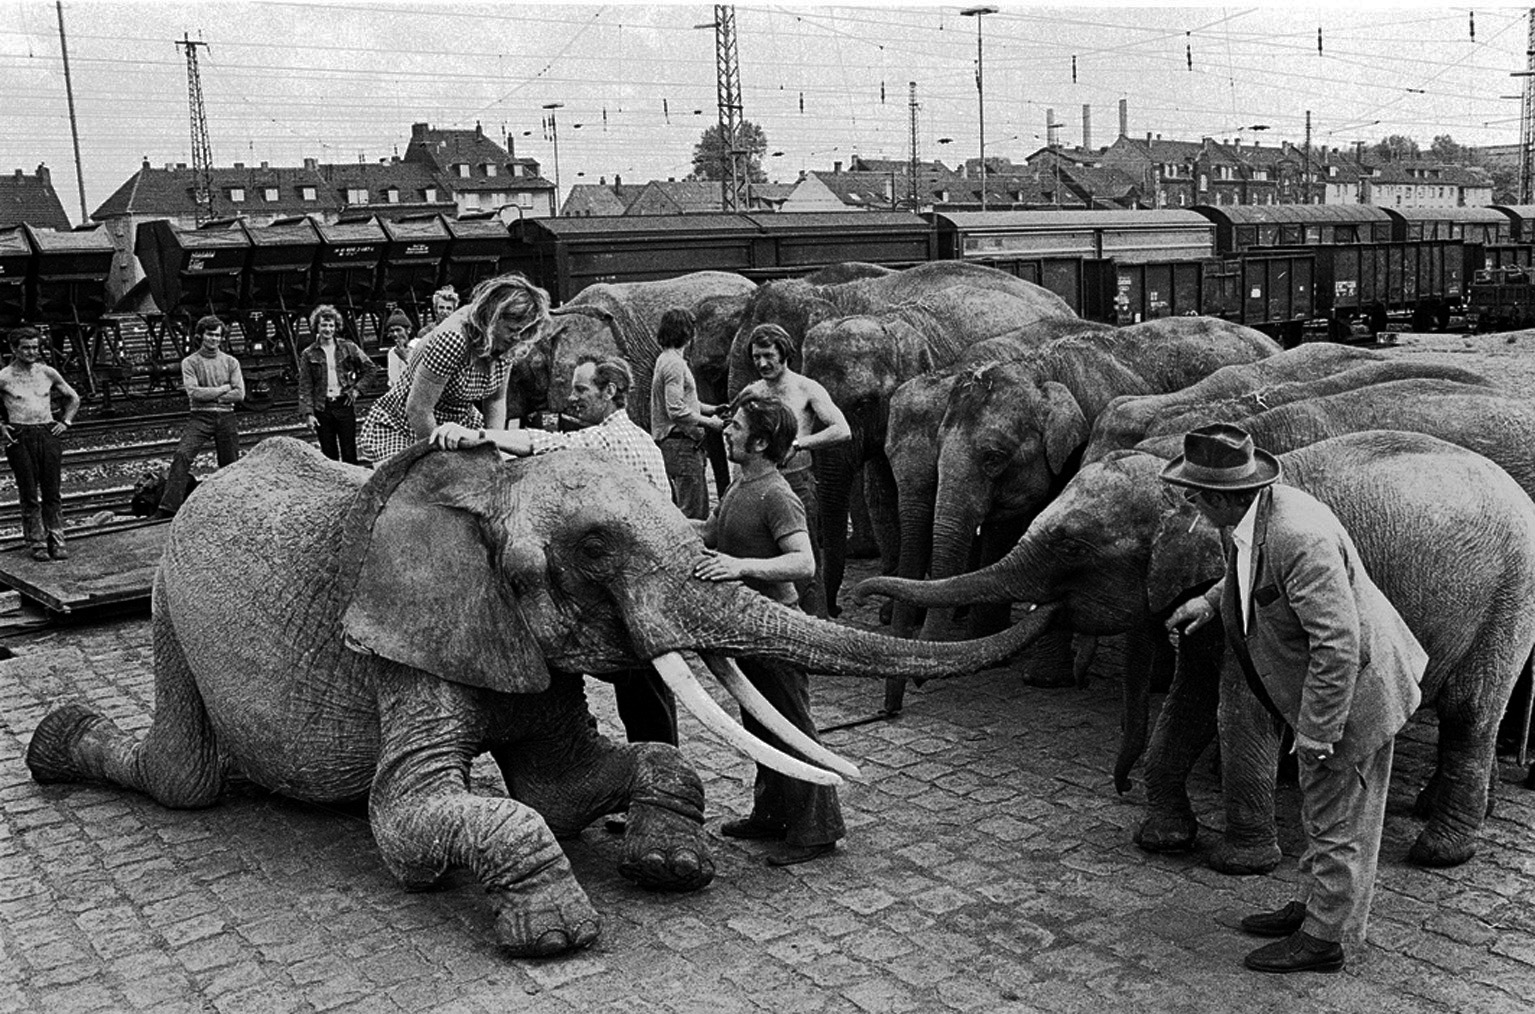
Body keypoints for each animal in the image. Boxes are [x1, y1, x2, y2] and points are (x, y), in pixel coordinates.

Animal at [29, 438, 1049, 951]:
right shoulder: (404, 641)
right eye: (594, 548)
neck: (493, 488)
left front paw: (670, 865)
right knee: (184, 778)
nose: (1043, 602)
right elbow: (411, 824)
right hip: (168, 607)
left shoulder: (516, 636)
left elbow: (574, 783)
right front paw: (555, 935)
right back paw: (56, 743)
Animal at [859, 432, 1535, 865]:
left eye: (1073, 546)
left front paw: (1242, 863)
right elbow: (1190, 694)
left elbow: (1238, 705)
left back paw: (1439, 853)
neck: (1174, 483)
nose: (1120, 785)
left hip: (1510, 595)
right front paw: (1163, 841)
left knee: (1471, 710)